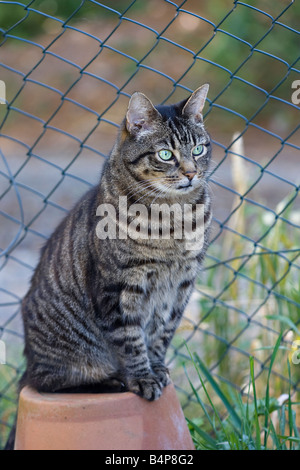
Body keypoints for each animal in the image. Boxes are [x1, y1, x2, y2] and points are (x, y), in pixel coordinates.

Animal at [4, 84, 212, 448]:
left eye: (198, 149)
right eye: (165, 154)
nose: (190, 173)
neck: (174, 217)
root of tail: (30, 363)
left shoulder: (180, 287)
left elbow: (160, 335)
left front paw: (157, 369)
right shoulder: (118, 288)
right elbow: (131, 340)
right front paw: (142, 378)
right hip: (66, 356)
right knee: (50, 383)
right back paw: (112, 381)